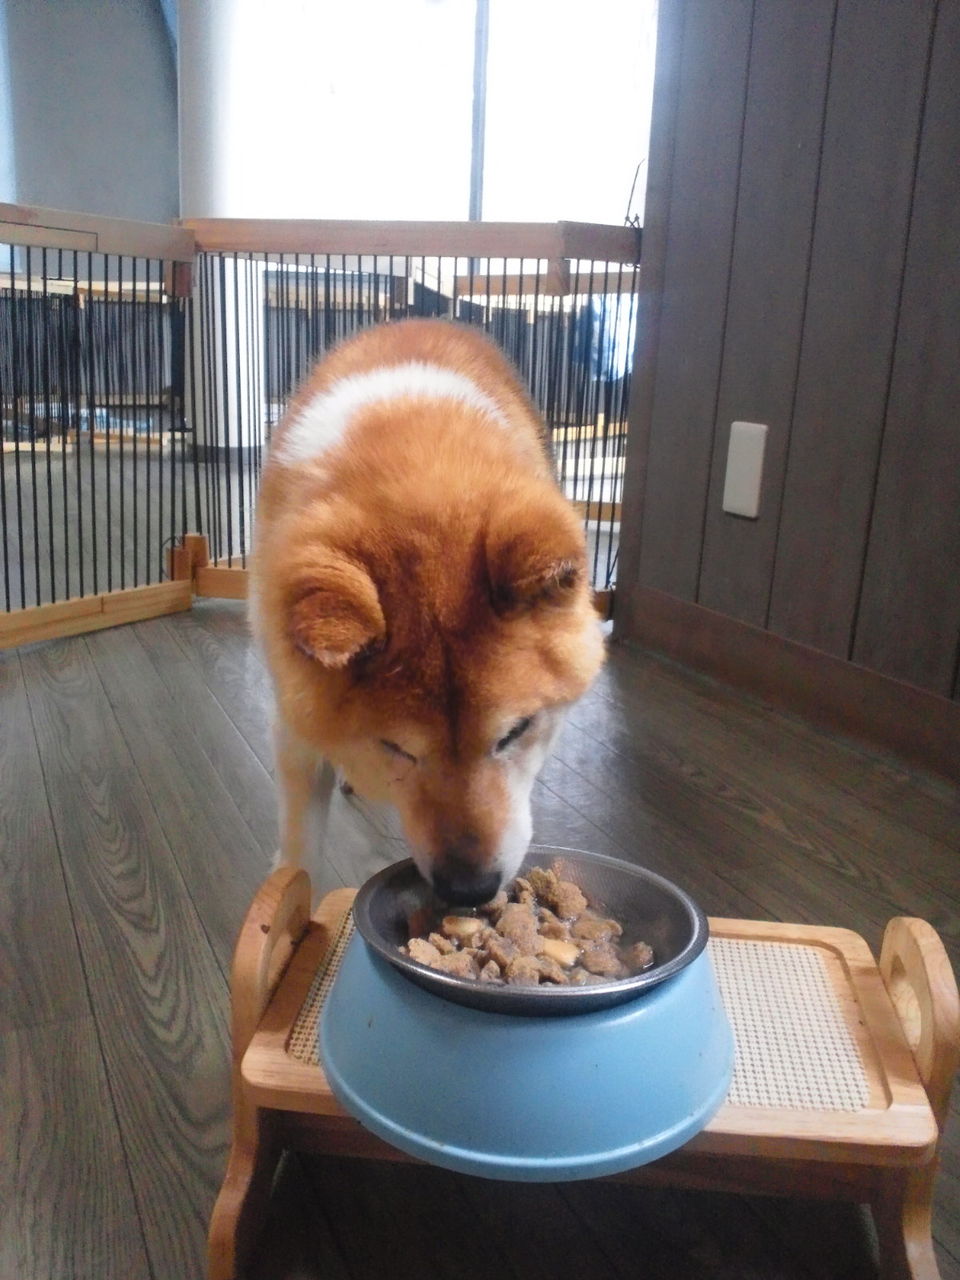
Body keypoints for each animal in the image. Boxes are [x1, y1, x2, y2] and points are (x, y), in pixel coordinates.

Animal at [250, 318, 604, 905]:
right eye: (396, 747)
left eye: (516, 732)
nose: (469, 889)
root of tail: (422, 318)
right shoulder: (291, 718)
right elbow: (300, 846)